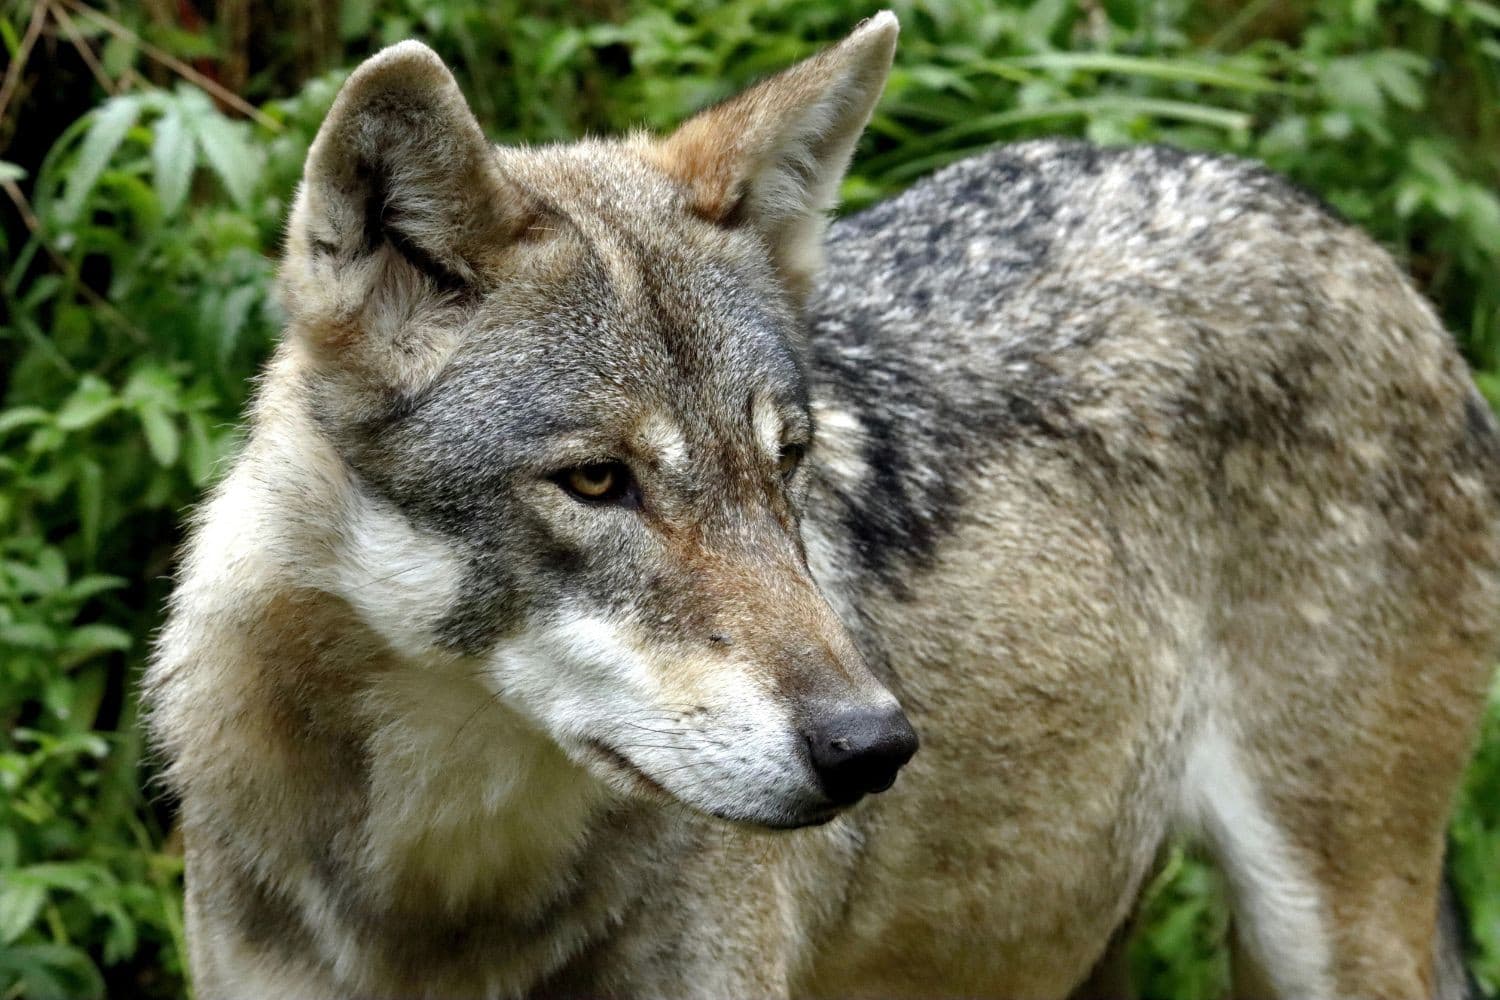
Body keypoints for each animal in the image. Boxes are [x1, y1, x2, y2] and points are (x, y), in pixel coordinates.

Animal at [146, 11, 1499, 999]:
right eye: (598, 480)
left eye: (788, 461)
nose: (874, 747)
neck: (438, 907)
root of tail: (1353, 240)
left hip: (1324, 930)